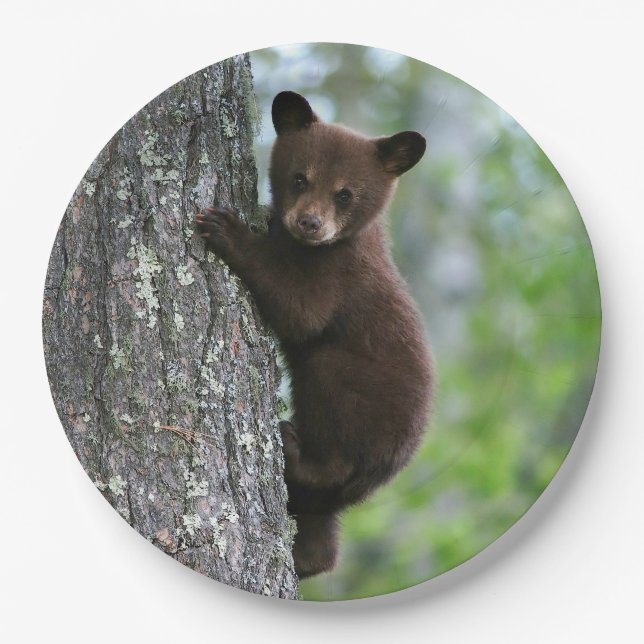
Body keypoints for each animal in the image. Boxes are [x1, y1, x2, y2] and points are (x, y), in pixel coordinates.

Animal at [195, 91, 433, 579]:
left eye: (345, 194)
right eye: (300, 178)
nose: (309, 223)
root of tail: (386, 470)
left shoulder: (338, 275)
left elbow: (300, 311)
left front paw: (228, 230)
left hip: (357, 397)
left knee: (330, 414)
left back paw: (293, 448)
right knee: (320, 526)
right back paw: (307, 557)